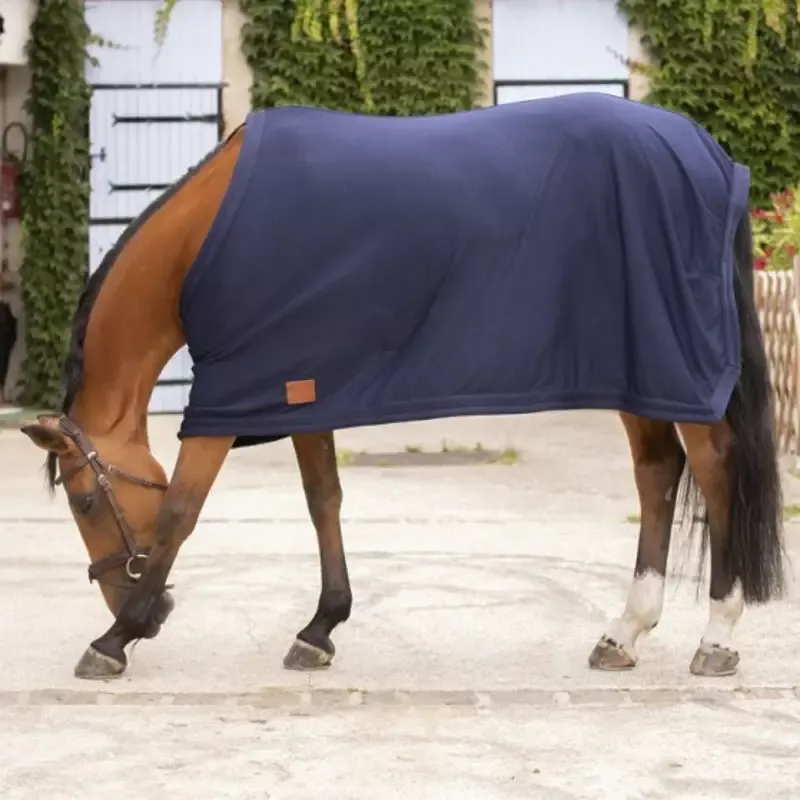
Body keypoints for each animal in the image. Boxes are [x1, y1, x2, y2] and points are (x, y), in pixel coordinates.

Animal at [20, 91, 786, 681]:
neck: (204, 241)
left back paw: (716, 638)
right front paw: (320, 628)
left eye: (85, 501)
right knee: (658, 474)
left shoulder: (228, 399)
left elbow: (181, 509)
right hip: (640, 371)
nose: (140, 611)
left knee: (712, 470)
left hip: (675, 368)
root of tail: (704, 150)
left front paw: (114, 641)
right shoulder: (297, 383)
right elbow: (323, 499)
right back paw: (624, 632)